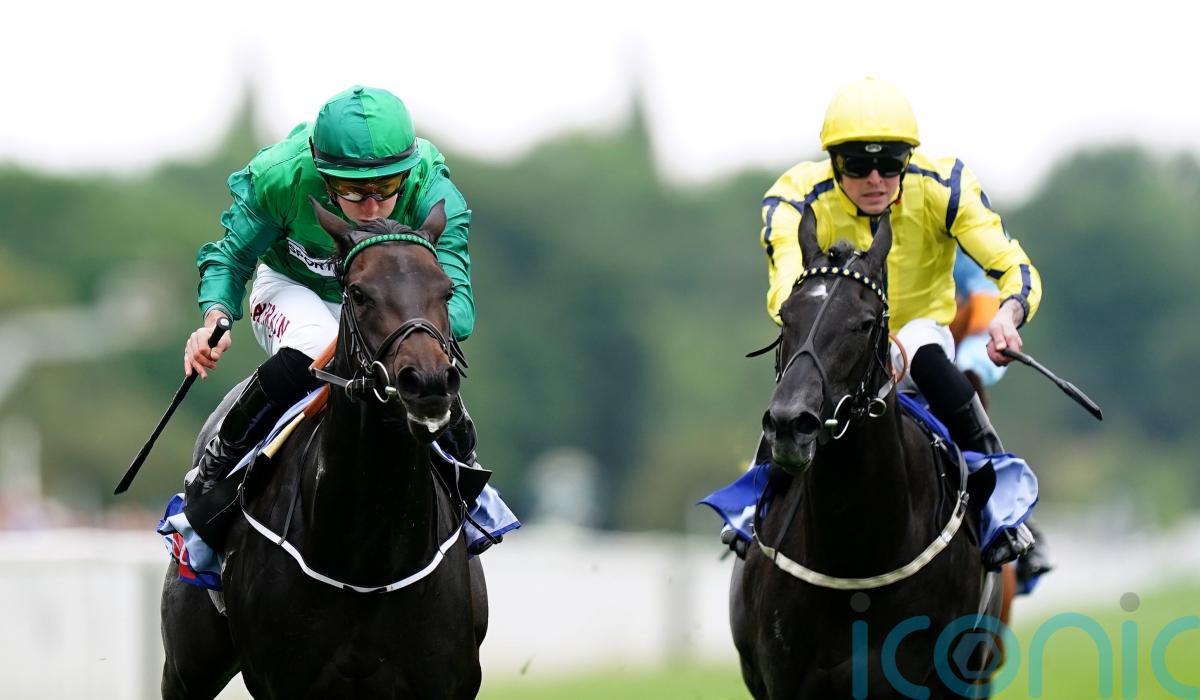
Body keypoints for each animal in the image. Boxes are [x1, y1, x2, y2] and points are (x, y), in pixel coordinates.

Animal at [160, 197, 487, 699]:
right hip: (186, 666)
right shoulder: (282, 681)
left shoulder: (445, 680)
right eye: (358, 292)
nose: (428, 381)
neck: (366, 559)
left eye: (447, 290)